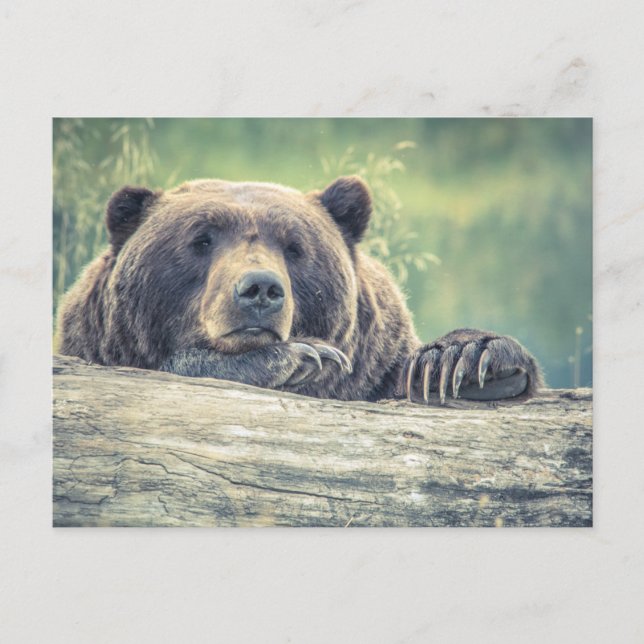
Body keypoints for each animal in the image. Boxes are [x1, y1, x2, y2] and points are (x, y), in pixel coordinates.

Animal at [55, 176, 543, 403]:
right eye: (201, 239)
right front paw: (301, 357)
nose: (260, 289)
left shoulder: (375, 366)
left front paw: (463, 361)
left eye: (294, 247)